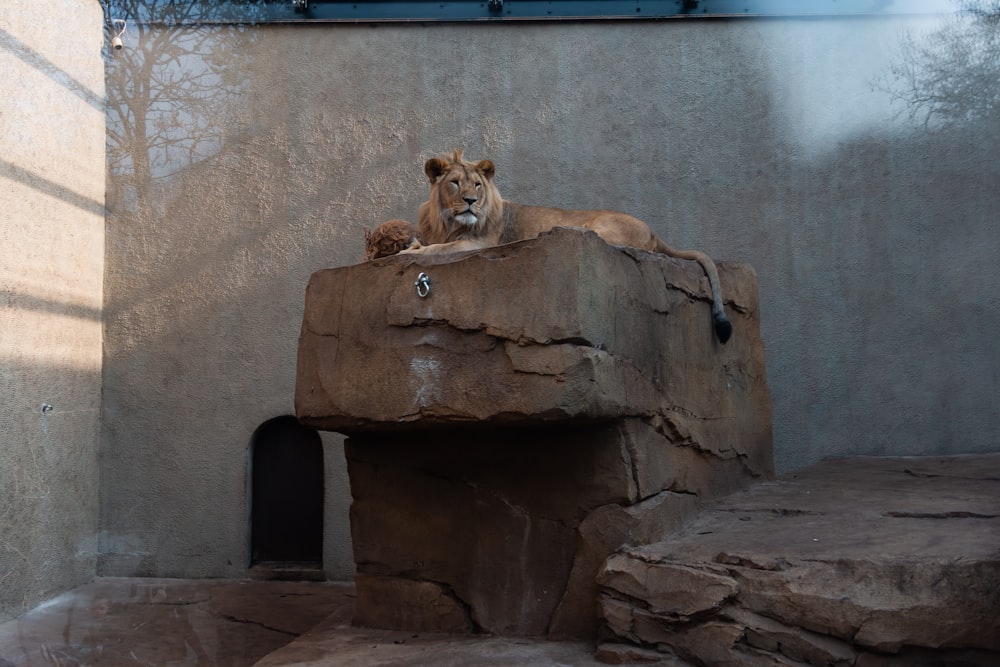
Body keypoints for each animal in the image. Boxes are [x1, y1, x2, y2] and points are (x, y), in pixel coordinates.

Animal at [400, 148, 736, 342]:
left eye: (478, 185)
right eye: (455, 183)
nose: (470, 201)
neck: (449, 222)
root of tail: (654, 231)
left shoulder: (478, 243)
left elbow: (438, 250)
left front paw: (409, 252)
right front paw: (412, 245)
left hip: (595, 230)